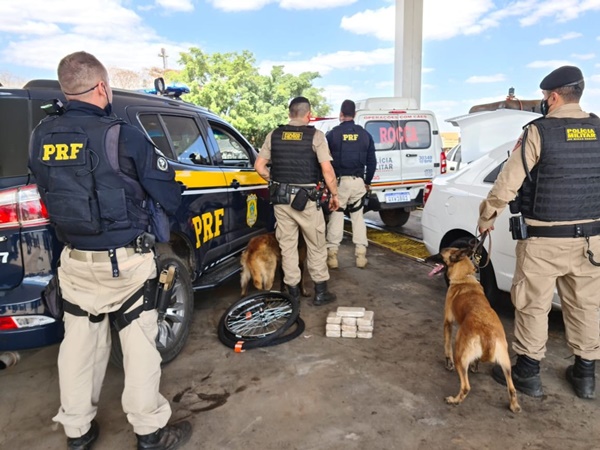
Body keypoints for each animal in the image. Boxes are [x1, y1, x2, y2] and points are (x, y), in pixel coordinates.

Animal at [426, 248, 520, 414]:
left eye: (440, 254)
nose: (426, 259)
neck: (464, 278)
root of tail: (488, 334)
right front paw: (475, 366)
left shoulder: (447, 323)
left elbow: (447, 347)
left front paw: (448, 364)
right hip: (506, 365)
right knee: (512, 388)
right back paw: (514, 406)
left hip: (460, 357)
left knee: (466, 387)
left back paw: (454, 400)